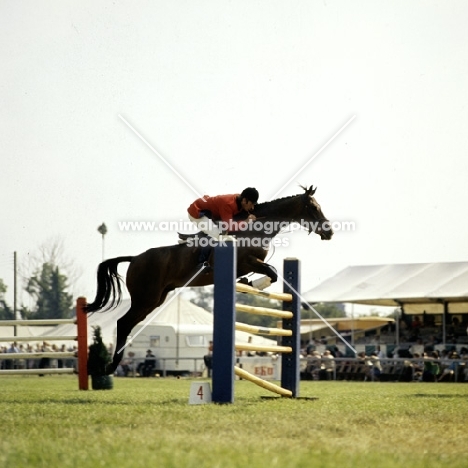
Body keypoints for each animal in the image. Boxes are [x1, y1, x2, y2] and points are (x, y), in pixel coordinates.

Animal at [85, 185, 332, 374]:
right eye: (313, 207)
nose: (329, 232)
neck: (254, 227)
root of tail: (135, 258)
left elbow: (271, 272)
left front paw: (246, 284)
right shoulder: (247, 261)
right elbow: (272, 271)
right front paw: (250, 284)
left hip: (154, 300)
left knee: (126, 323)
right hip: (145, 298)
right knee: (123, 323)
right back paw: (109, 367)